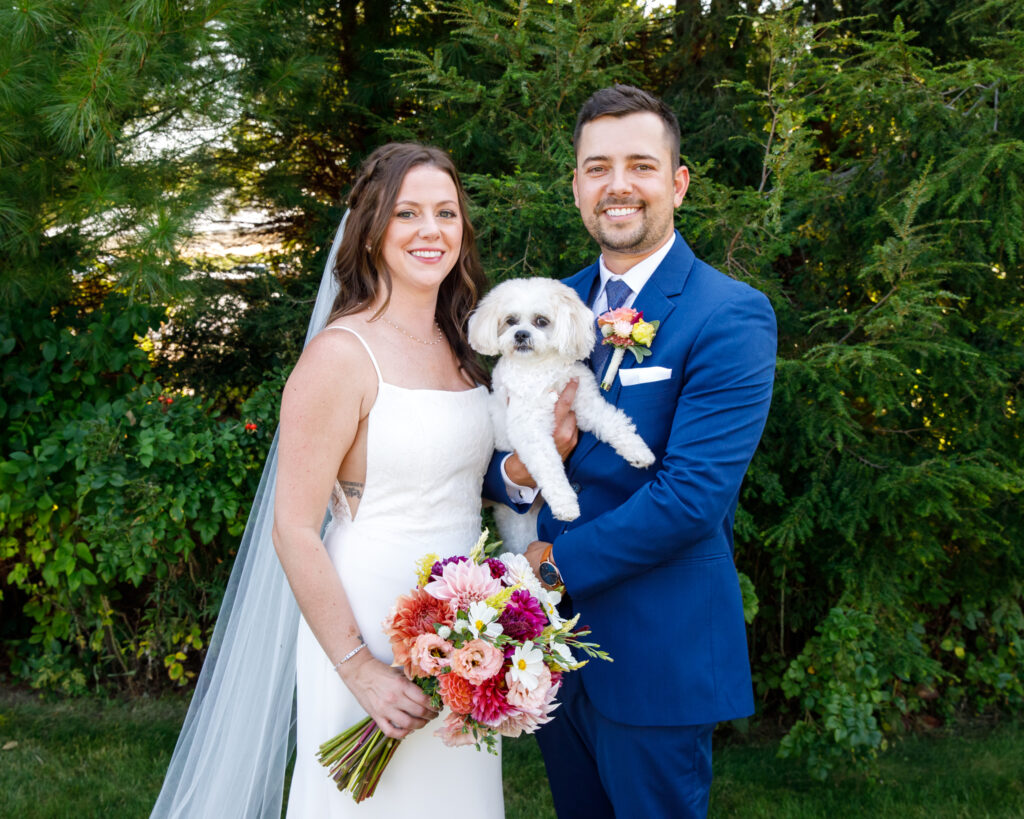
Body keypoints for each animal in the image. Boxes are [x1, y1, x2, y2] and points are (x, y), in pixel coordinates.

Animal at [468, 278, 651, 552]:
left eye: (541, 320)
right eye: (510, 320)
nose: (521, 334)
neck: (542, 369)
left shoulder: (586, 404)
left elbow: (614, 422)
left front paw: (639, 452)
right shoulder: (529, 429)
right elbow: (549, 466)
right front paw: (566, 504)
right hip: (520, 527)